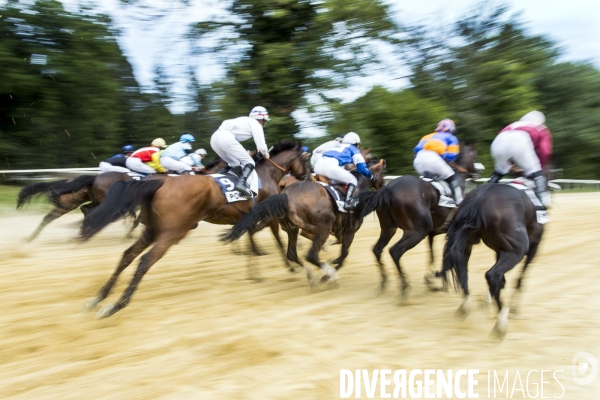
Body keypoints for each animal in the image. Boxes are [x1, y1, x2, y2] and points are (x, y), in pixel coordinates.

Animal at [78, 141, 310, 318]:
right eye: (306, 160)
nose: (308, 177)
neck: (265, 174)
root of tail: (160, 184)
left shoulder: (248, 217)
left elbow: (251, 237)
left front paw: (255, 269)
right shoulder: (269, 215)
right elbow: (276, 238)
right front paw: (290, 265)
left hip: (153, 230)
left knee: (128, 255)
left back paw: (100, 297)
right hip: (171, 233)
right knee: (144, 261)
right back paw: (117, 305)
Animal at [220, 159, 384, 288]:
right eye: (383, 171)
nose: (383, 186)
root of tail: (285, 195)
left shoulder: (340, 232)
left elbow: (341, 253)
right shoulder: (349, 231)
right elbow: (343, 256)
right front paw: (328, 275)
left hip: (292, 228)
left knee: (291, 253)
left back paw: (309, 274)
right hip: (323, 227)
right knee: (310, 255)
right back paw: (326, 274)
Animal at [352, 147, 478, 300]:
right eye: (474, 156)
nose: (478, 172)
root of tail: (386, 190)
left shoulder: (432, 233)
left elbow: (432, 255)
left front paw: (431, 279)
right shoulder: (451, 232)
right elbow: (448, 257)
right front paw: (437, 278)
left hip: (389, 229)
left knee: (377, 249)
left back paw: (384, 283)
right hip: (417, 231)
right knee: (395, 251)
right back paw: (404, 287)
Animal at [438, 183, 548, 336]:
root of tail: (479, 198)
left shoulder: (500, 250)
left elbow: (502, 281)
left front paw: (487, 300)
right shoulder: (533, 247)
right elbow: (520, 278)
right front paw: (513, 309)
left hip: (466, 244)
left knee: (463, 270)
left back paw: (466, 305)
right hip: (516, 251)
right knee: (492, 274)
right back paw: (501, 320)